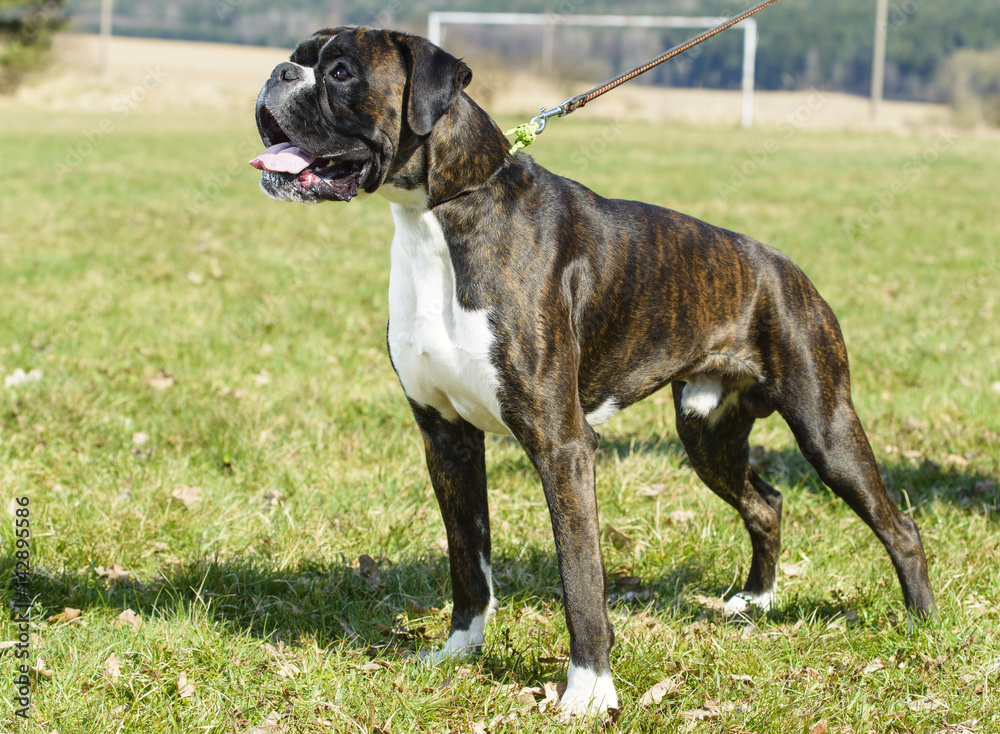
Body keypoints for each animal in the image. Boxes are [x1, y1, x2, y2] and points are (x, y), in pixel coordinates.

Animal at [250, 28, 936, 720]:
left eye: (340, 72)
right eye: (300, 56)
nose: (277, 72)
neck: (444, 215)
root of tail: (785, 269)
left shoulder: (563, 445)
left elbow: (580, 578)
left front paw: (588, 690)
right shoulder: (446, 439)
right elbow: (468, 559)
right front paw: (459, 650)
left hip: (825, 429)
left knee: (898, 524)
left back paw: (921, 625)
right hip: (707, 436)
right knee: (766, 504)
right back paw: (757, 601)